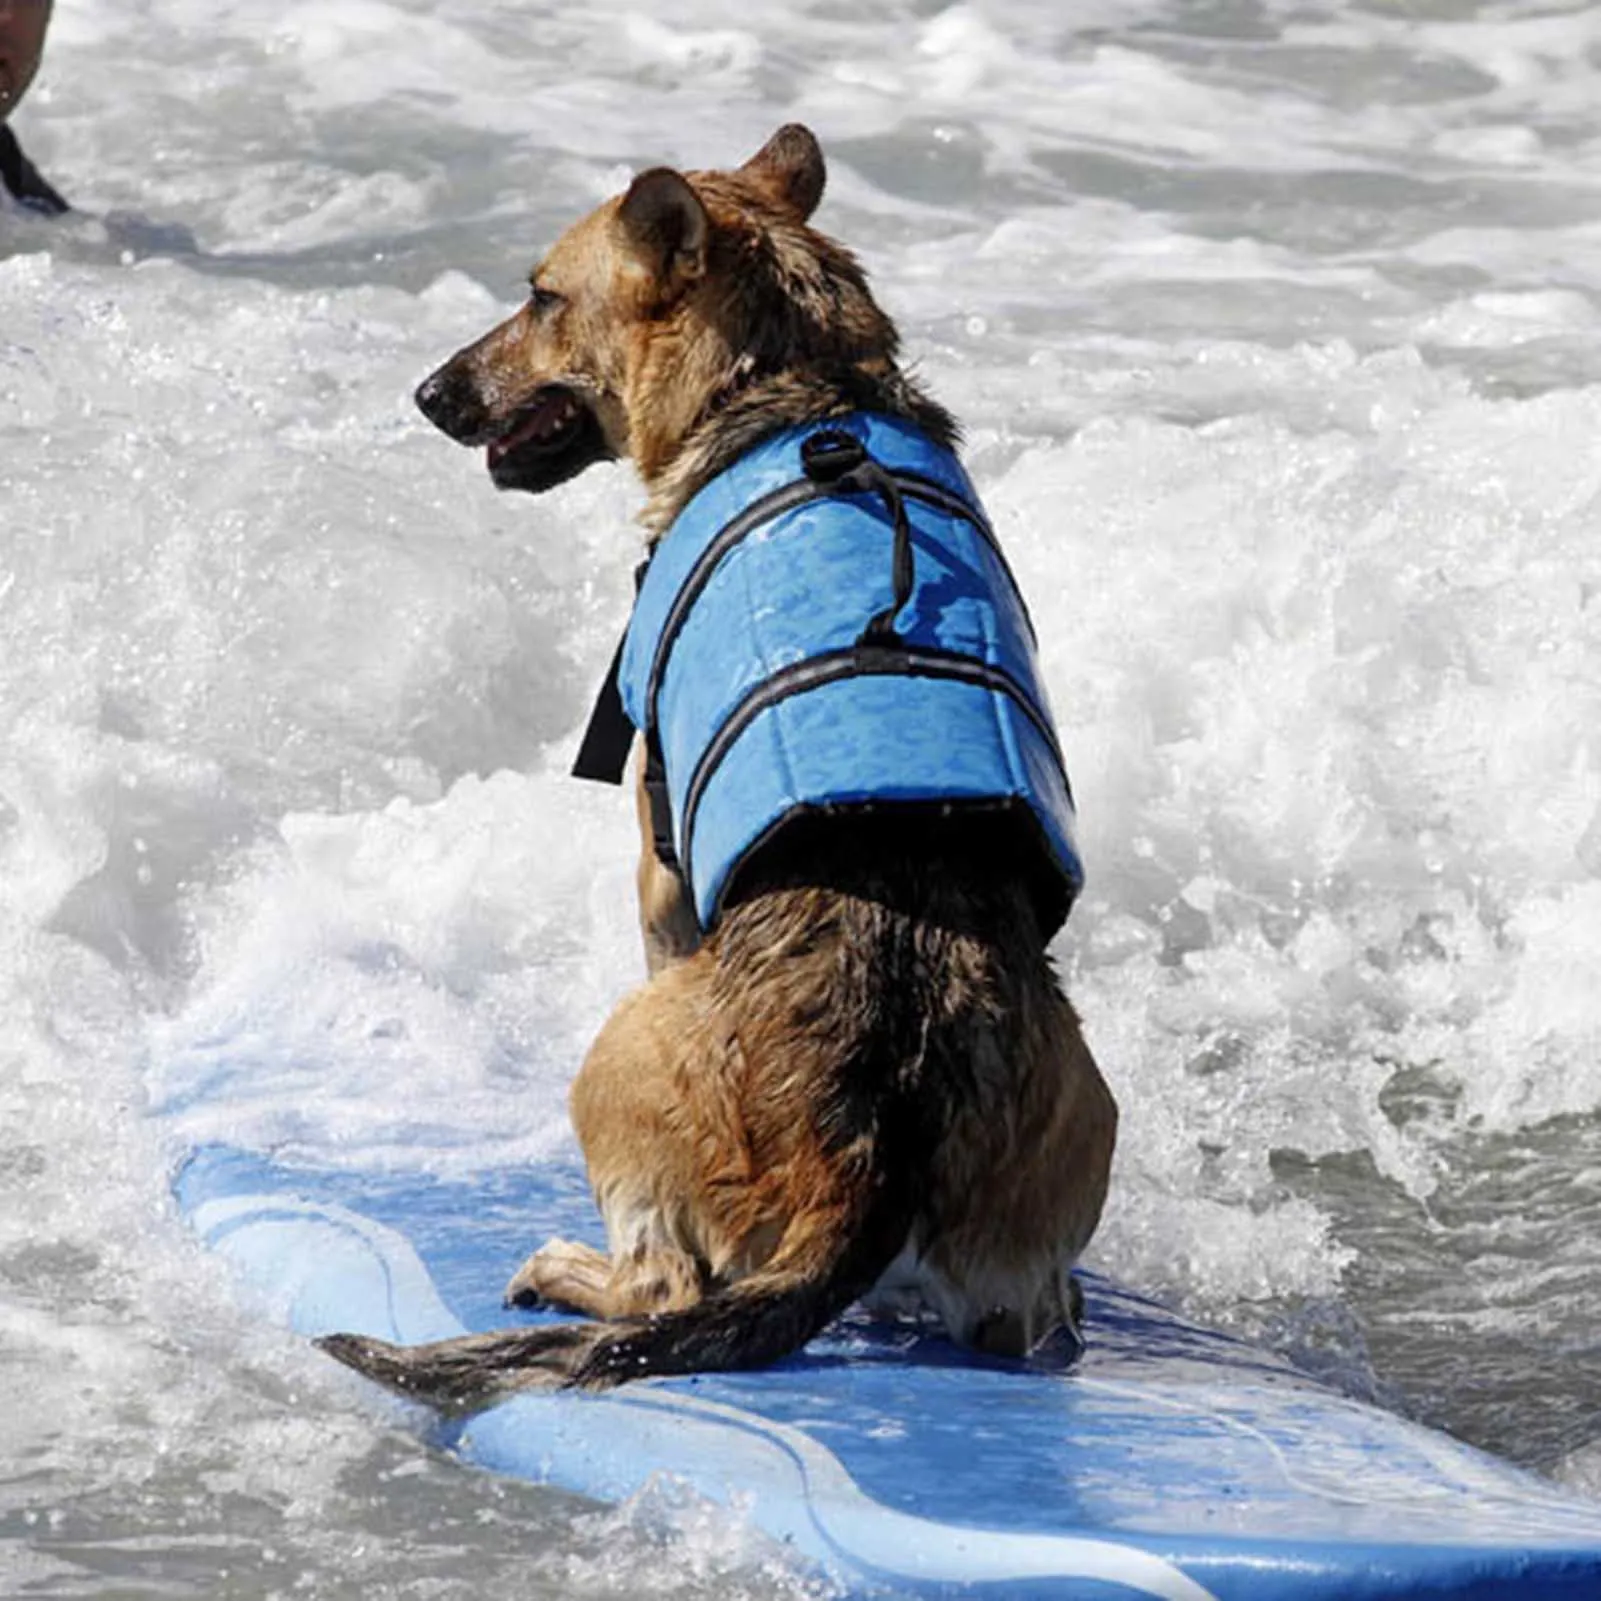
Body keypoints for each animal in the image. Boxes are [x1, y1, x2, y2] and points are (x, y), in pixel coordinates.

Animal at [320, 124, 1120, 1402]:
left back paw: (565, 1267)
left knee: (662, 1288)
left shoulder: (654, 861)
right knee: (1024, 1312)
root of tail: (879, 1143)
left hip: (617, 1052)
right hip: (1055, 1171)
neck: (795, 387)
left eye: (541, 296)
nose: (428, 393)